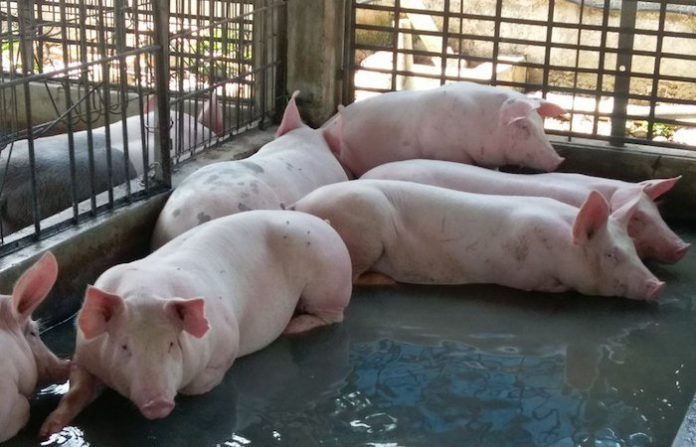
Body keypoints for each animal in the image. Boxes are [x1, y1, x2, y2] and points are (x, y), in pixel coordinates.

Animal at [39, 210, 352, 437]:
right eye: (125, 347)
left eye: (172, 344)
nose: (158, 403)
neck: (145, 292)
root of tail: (323, 223)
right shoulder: (84, 354)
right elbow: (77, 389)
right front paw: (46, 430)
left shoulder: (224, 349)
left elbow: (199, 386)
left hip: (328, 281)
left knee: (332, 315)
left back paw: (292, 328)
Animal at [292, 179, 664, 300]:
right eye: (612, 255)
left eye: (633, 248)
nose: (658, 285)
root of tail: (301, 205)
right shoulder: (529, 276)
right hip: (362, 233)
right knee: (356, 277)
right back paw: (387, 282)